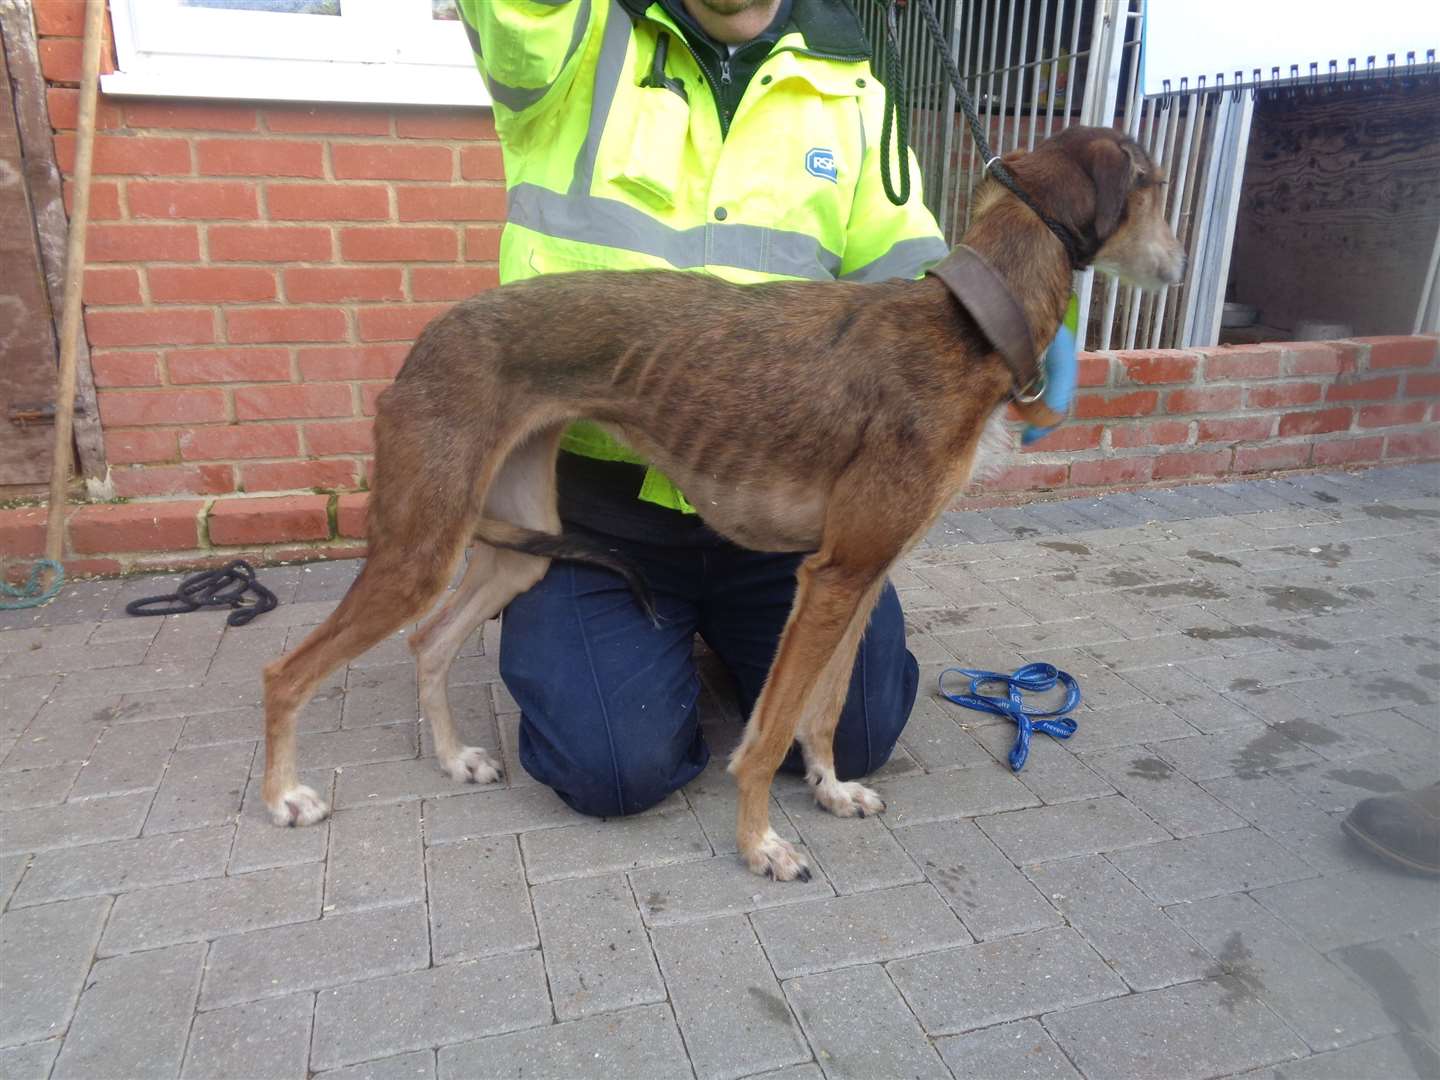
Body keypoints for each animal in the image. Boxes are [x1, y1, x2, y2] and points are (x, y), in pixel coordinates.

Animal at [259, 124, 1180, 881]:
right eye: (1157, 186)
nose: (1177, 266)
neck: (967, 326)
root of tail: (425, 344)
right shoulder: (832, 577)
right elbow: (768, 734)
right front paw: (761, 843)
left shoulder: (864, 574)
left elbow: (828, 709)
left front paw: (832, 788)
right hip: (422, 544)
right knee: (286, 671)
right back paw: (282, 797)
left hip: (513, 543)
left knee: (429, 641)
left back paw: (454, 759)